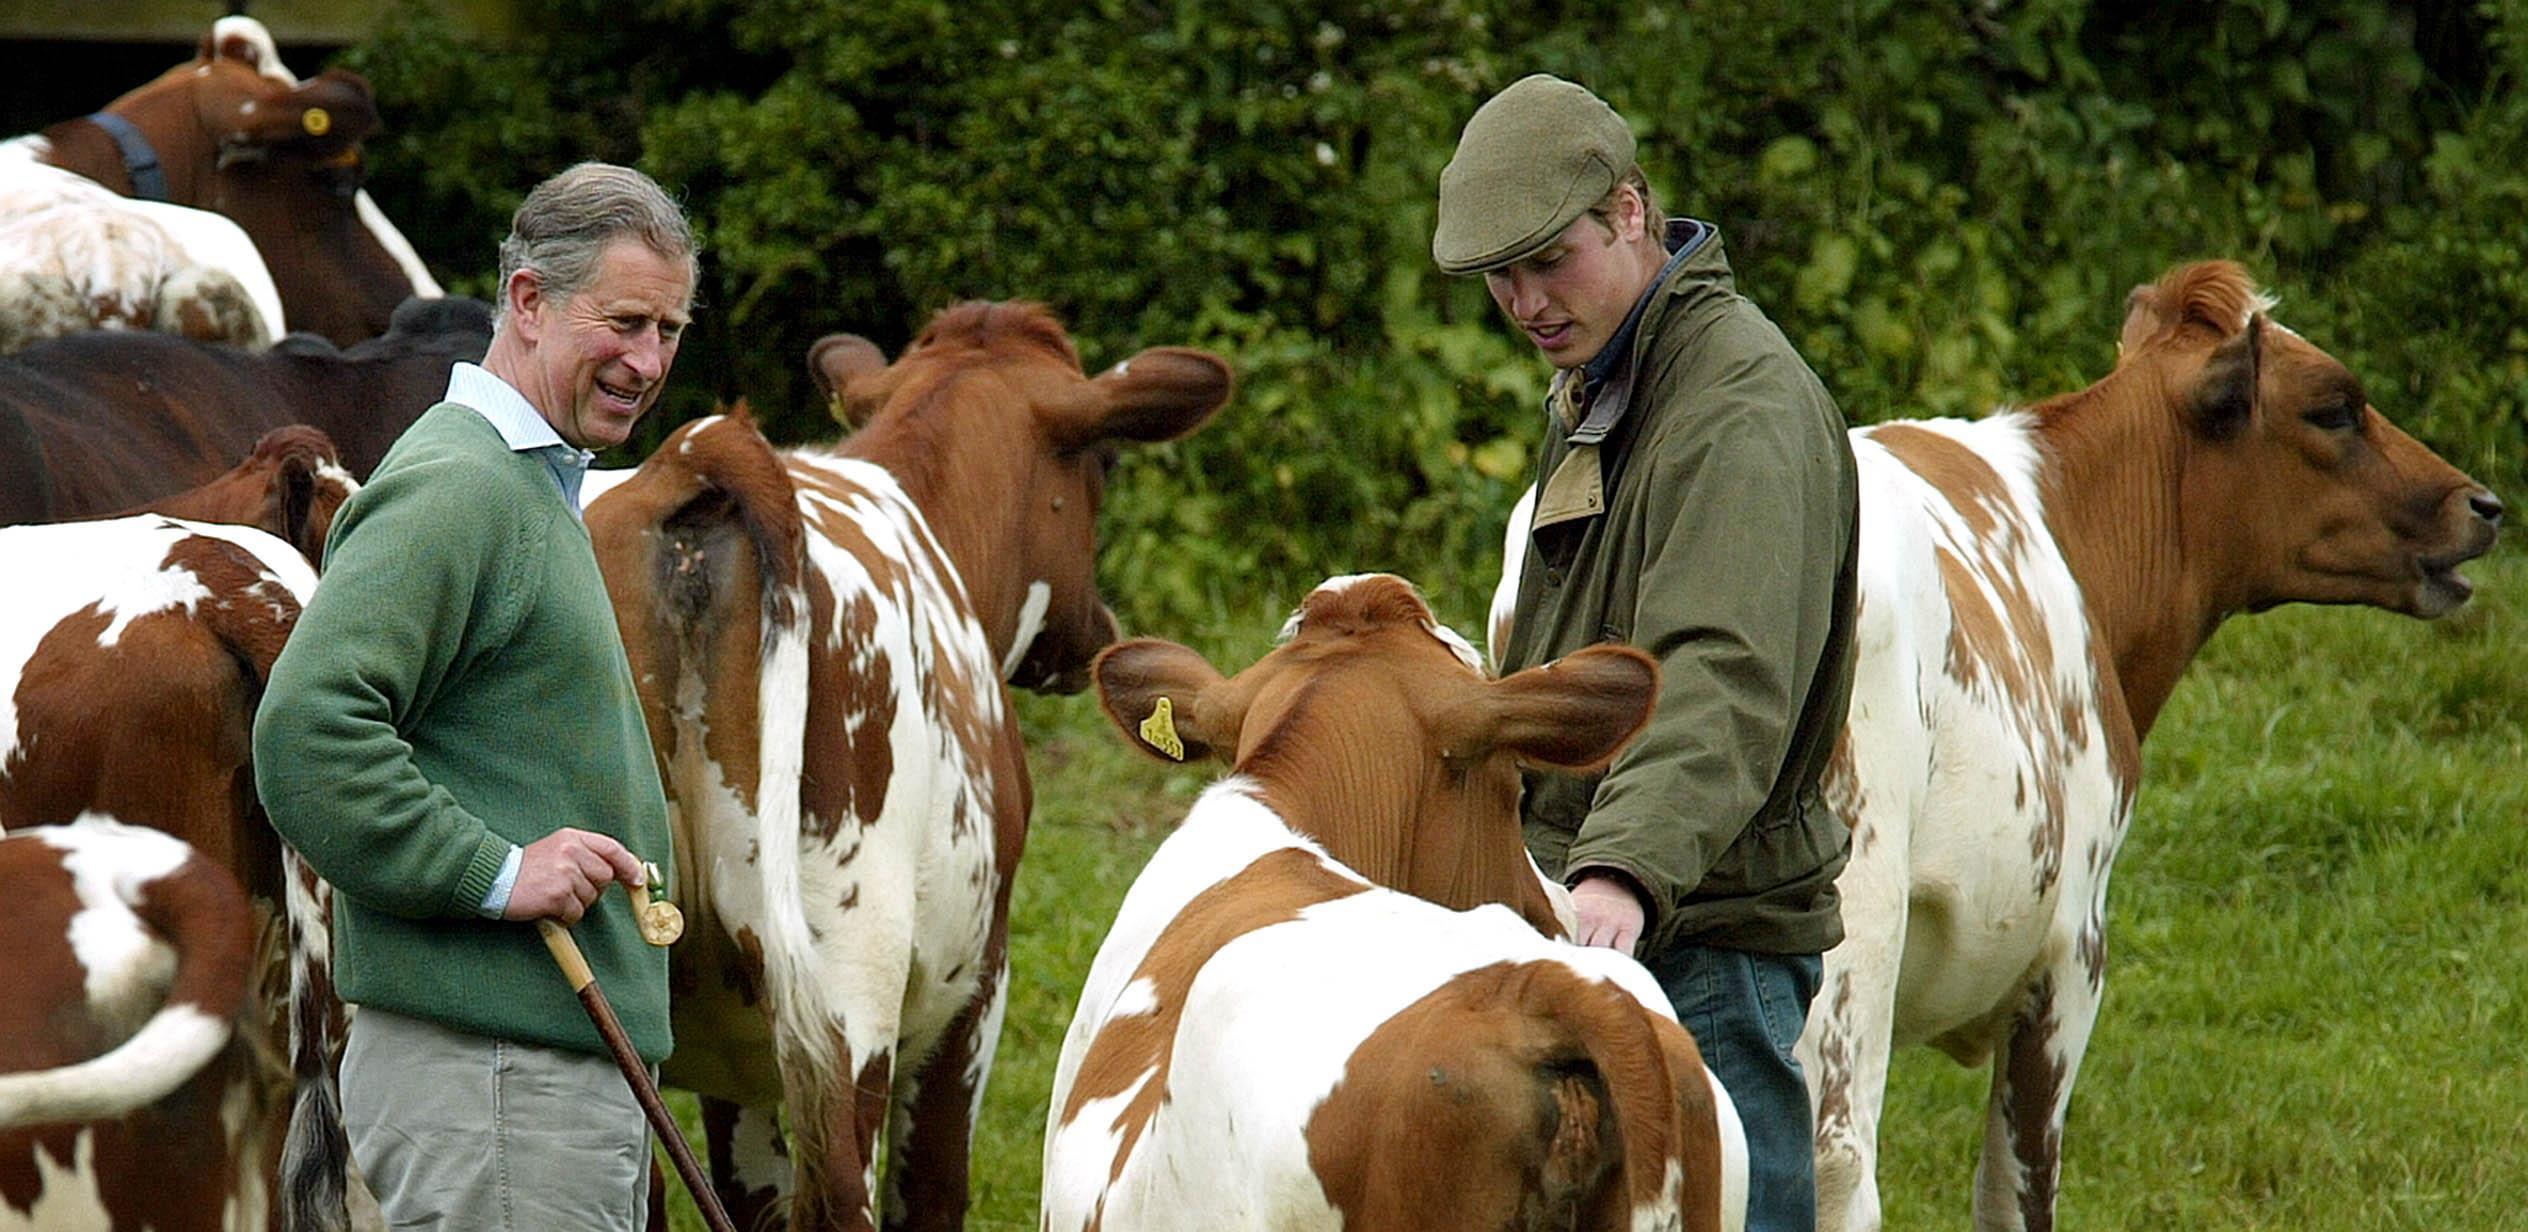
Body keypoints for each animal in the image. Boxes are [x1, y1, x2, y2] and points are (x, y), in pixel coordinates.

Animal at [583, 301, 1233, 1232]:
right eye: (1105, 461)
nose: (1096, 632)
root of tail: (688, 462)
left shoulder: (737, 1076)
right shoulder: (973, 995)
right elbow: (930, 1189)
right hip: (851, 997)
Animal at [1496, 255, 2507, 1229]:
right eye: (2335, 406)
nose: (2484, 503)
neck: (2076, 534)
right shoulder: (2071, 953)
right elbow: (2014, 1190)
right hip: (1852, 941)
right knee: (1833, 1162)